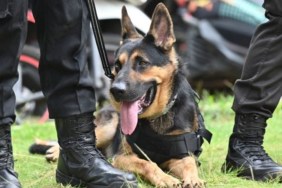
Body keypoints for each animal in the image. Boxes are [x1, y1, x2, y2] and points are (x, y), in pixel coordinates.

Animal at [30, 3, 212, 188]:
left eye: (142, 63)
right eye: (117, 65)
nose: (115, 90)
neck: (156, 118)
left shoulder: (180, 156)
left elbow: (189, 163)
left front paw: (193, 179)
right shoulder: (121, 158)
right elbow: (147, 163)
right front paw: (165, 178)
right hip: (108, 126)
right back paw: (54, 152)